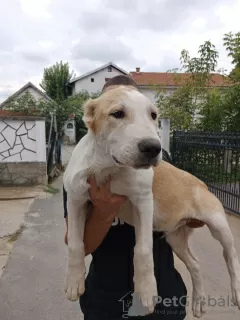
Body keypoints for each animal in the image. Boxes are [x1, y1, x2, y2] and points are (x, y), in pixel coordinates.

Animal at [63, 75, 240, 318]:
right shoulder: (76, 200)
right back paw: (199, 302)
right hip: (176, 238)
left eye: (154, 115)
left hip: (219, 224)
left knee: (231, 255)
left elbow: (143, 250)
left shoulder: (143, 202)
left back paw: (236, 292)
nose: (153, 148)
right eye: (117, 113)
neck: (109, 167)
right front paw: (74, 281)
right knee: (195, 264)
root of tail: (202, 183)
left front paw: (146, 292)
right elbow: (75, 243)